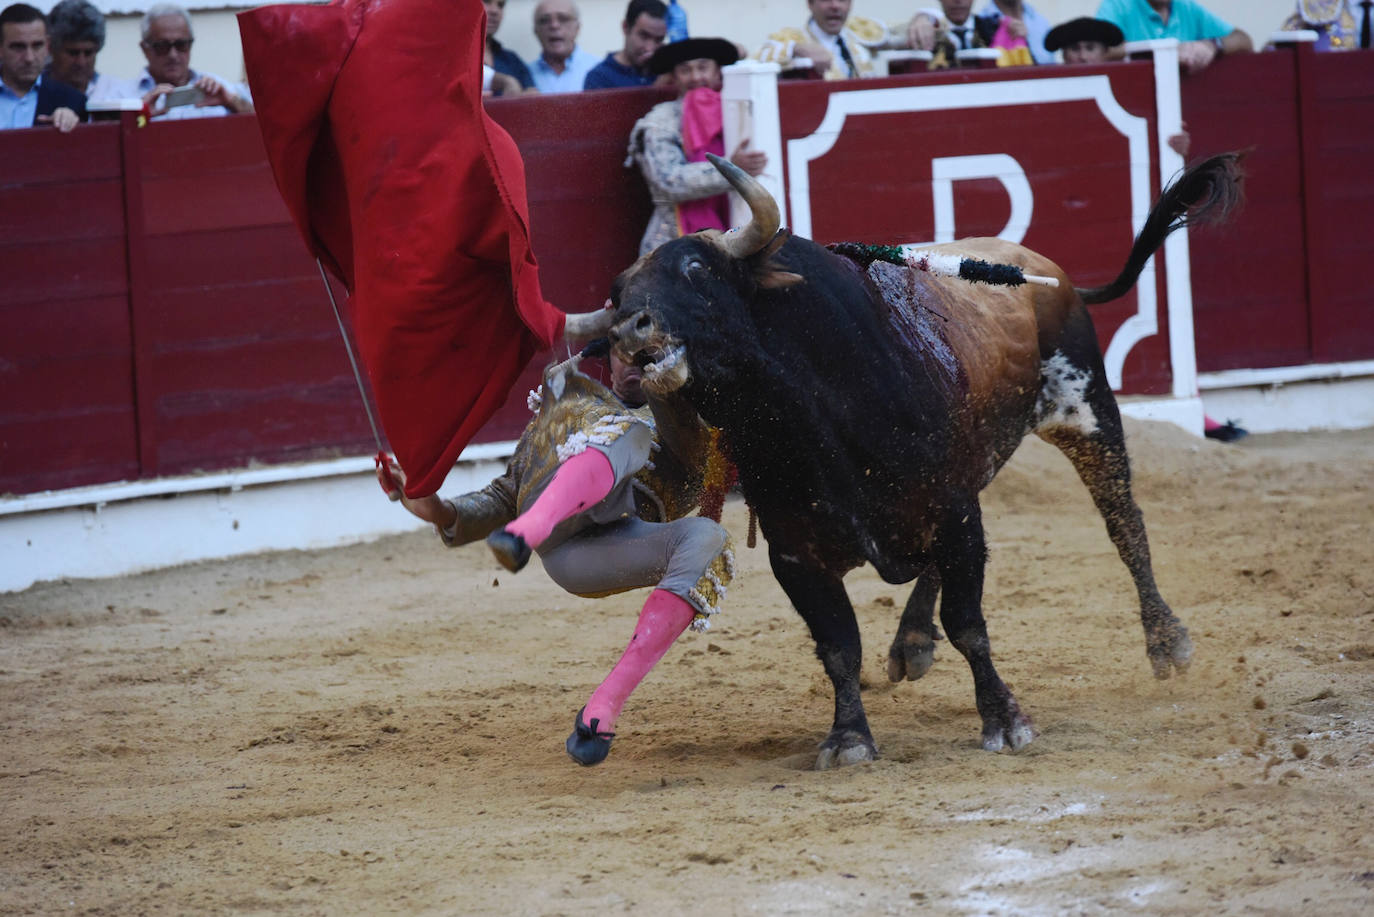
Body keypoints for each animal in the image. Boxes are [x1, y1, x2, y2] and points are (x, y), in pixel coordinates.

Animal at [607, 152, 1242, 769]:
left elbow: (969, 625)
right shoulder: (797, 553)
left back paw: (1166, 641)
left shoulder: (953, 514)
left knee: (1123, 521)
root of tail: (1047, 271)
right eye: (617, 295)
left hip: (1084, 412)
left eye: (696, 269)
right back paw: (912, 640)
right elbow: (838, 646)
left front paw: (1005, 722)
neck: (812, 417)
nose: (627, 329)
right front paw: (849, 738)